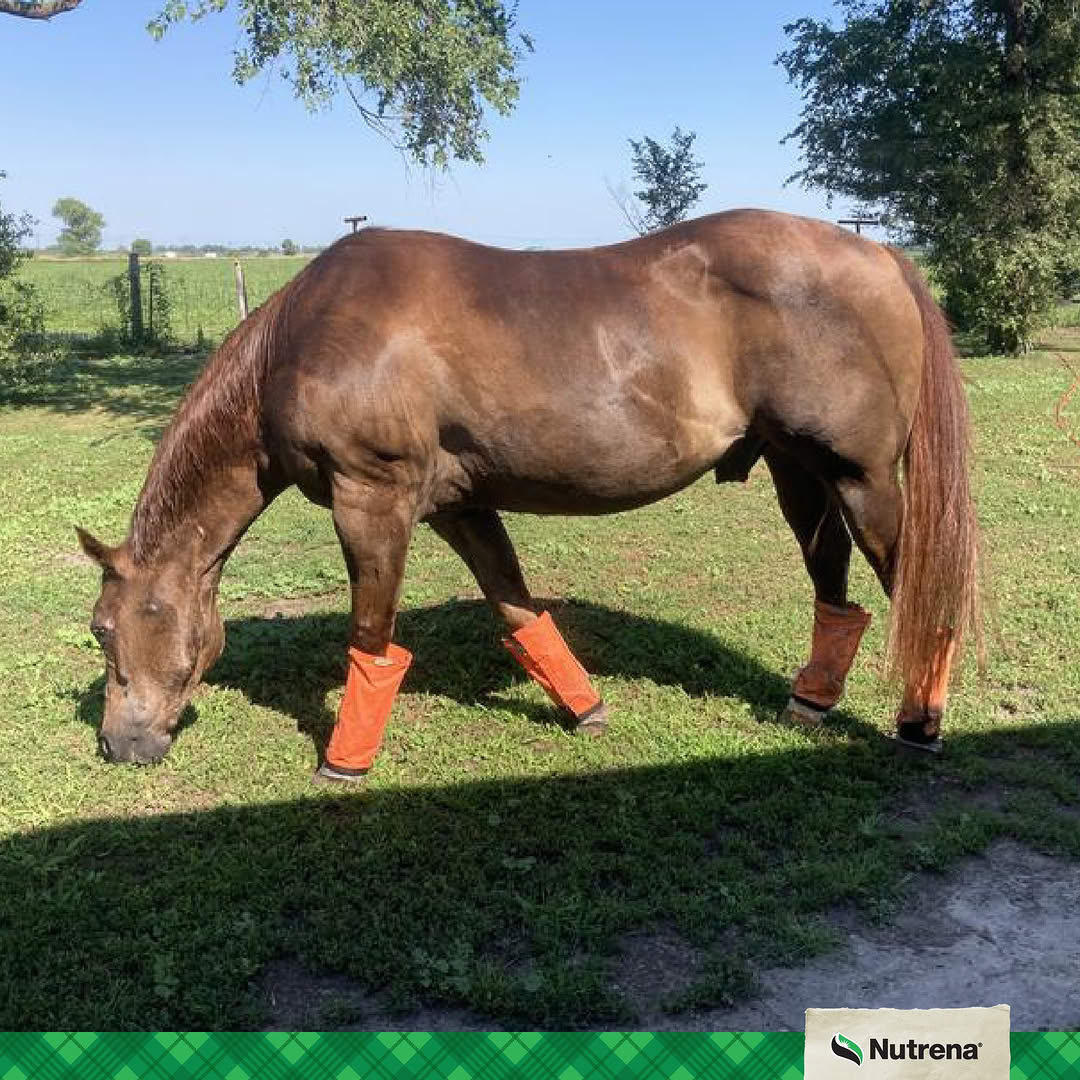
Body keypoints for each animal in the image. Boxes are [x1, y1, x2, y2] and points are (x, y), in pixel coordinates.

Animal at [77, 209, 980, 779]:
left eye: (100, 629)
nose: (120, 746)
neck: (309, 335)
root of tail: (880, 255)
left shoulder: (371, 500)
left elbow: (371, 638)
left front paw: (343, 761)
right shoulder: (458, 507)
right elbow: (517, 609)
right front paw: (587, 711)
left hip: (862, 478)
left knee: (918, 594)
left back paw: (919, 728)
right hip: (799, 471)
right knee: (834, 588)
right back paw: (810, 704)